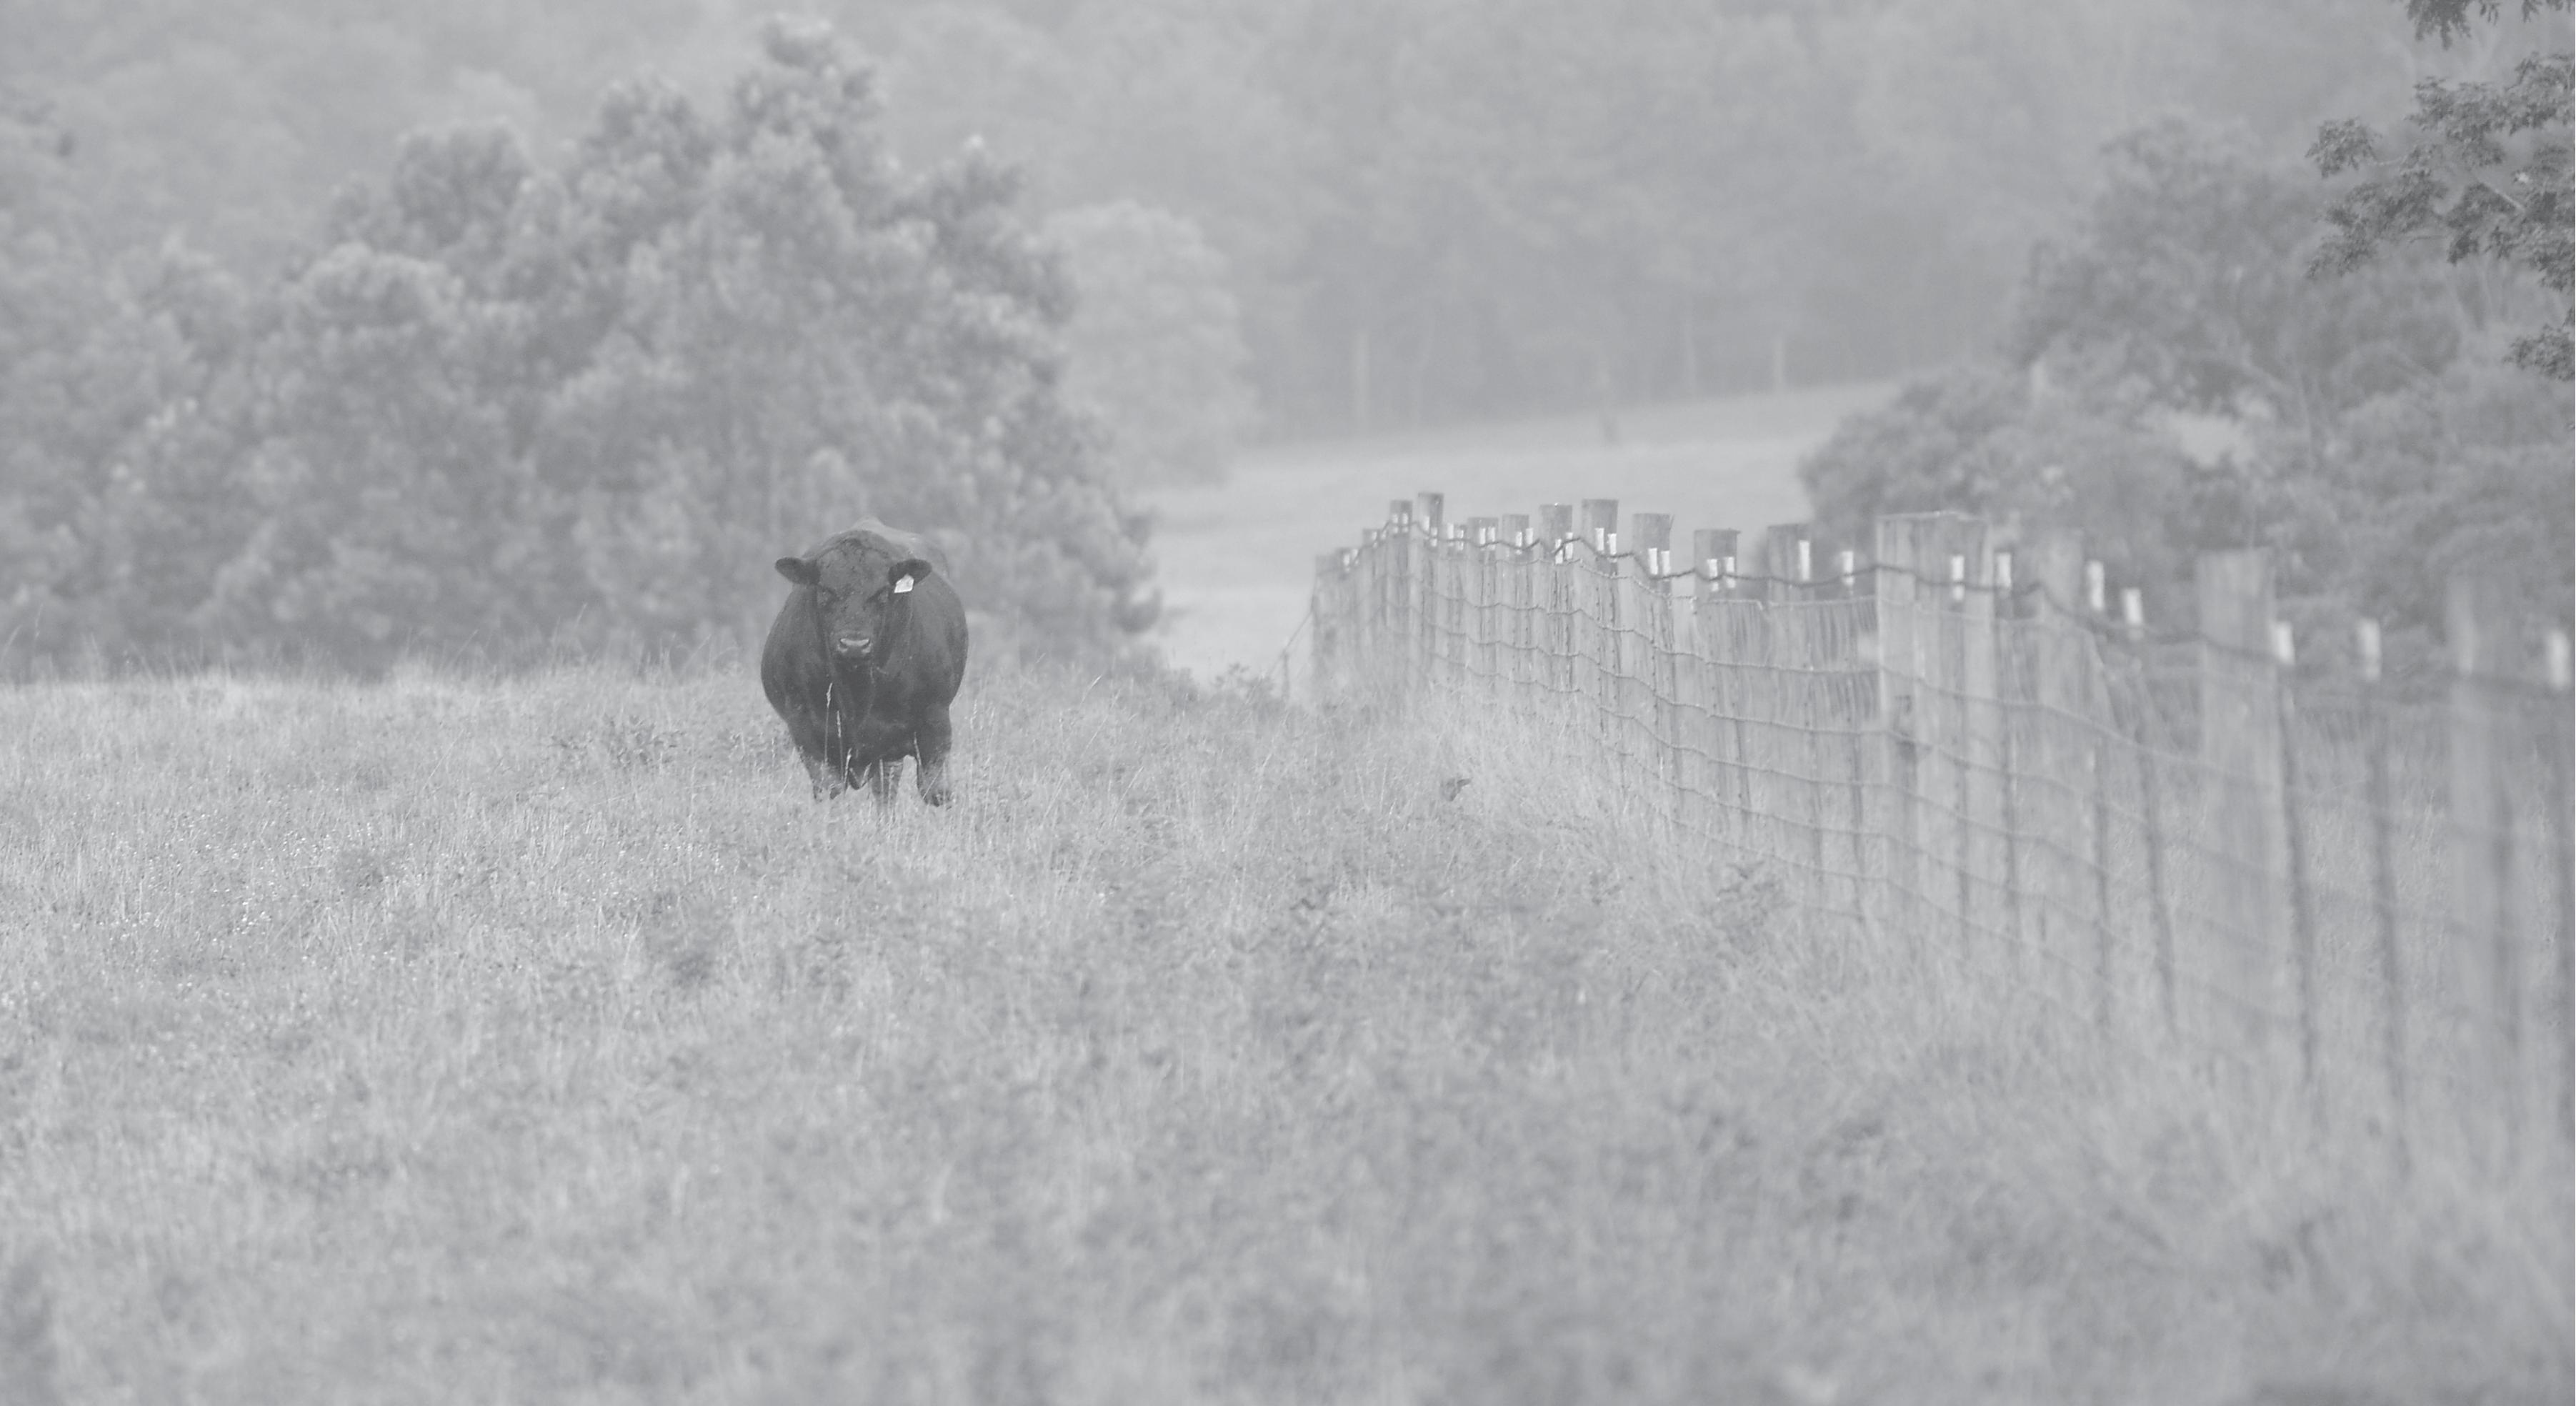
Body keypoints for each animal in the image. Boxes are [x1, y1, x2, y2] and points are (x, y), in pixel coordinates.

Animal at [761, 519, 970, 804]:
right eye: (825, 590)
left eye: (882, 592)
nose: (854, 644)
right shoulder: (806, 730)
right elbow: (829, 790)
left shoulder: (934, 722)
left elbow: (936, 792)